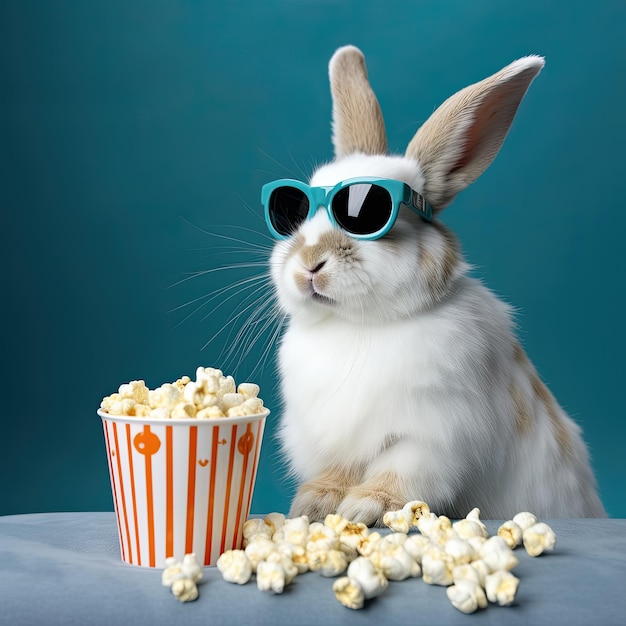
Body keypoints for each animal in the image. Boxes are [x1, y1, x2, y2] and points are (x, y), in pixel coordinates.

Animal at [268, 45, 604, 520]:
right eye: (294, 214)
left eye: (368, 213)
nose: (309, 264)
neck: (359, 326)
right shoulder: (336, 438)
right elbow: (338, 471)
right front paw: (314, 504)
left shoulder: (433, 435)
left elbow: (399, 472)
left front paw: (365, 508)